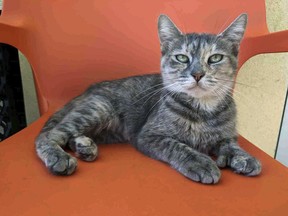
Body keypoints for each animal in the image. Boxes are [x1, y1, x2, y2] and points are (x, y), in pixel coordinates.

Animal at [35, 13, 260, 184]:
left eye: (215, 58)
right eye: (181, 57)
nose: (197, 74)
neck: (201, 110)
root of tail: (87, 90)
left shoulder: (226, 136)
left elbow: (231, 145)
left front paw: (245, 158)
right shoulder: (149, 135)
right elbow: (179, 147)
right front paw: (201, 162)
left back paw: (84, 146)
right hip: (97, 109)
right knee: (50, 135)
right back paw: (58, 156)